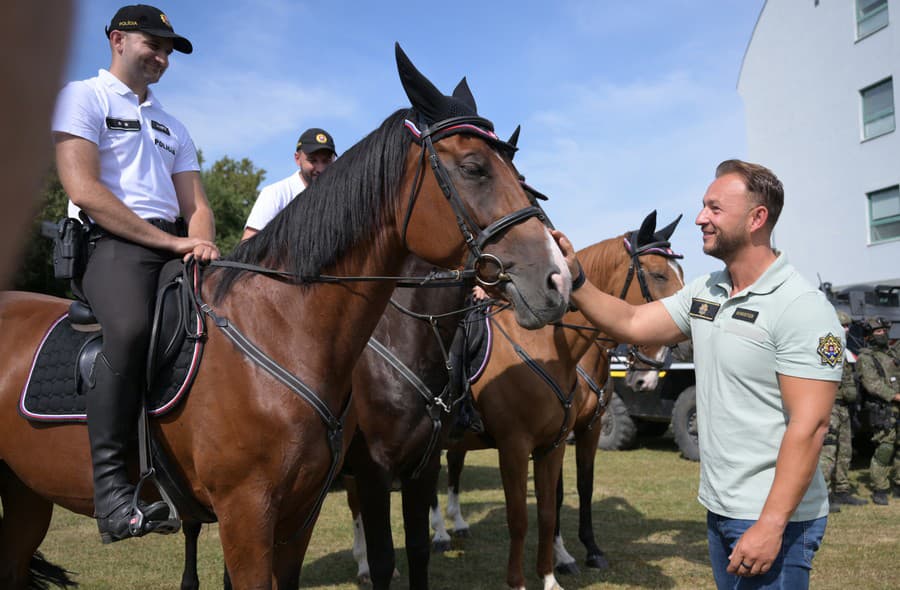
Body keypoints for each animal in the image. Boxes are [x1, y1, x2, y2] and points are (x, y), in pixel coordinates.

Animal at [0, 46, 568, 590]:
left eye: (523, 180)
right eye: (474, 167)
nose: (559, 279)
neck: (284, 331)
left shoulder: (315, 508)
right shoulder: (260, 509)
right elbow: (382, 561)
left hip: (27, 496)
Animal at [434, 213, 684, 590]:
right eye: (658, 274)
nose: (647, 377)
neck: (548, 346)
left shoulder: (576, 433)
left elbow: (571, 492)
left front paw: (582, 553)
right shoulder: (518, 445)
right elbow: (529, 511)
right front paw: (560, 558)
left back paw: (457, 524)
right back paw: (438, 533)